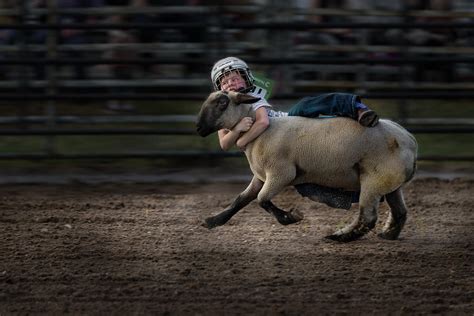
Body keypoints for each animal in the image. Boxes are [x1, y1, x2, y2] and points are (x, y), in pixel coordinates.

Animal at [194, 90, 416, 243]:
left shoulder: (281, 174)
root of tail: (410, 141)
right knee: (399, 212)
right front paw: (213, 221)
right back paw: (388, 235)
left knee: (367, 217)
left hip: (374, 179)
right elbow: (241, 199)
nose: (198, 128)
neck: (259, 132)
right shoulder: (261, 176)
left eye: (222, 103)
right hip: (390, 182)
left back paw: (338, 237)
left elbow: (262, 200)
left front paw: (290, 217)